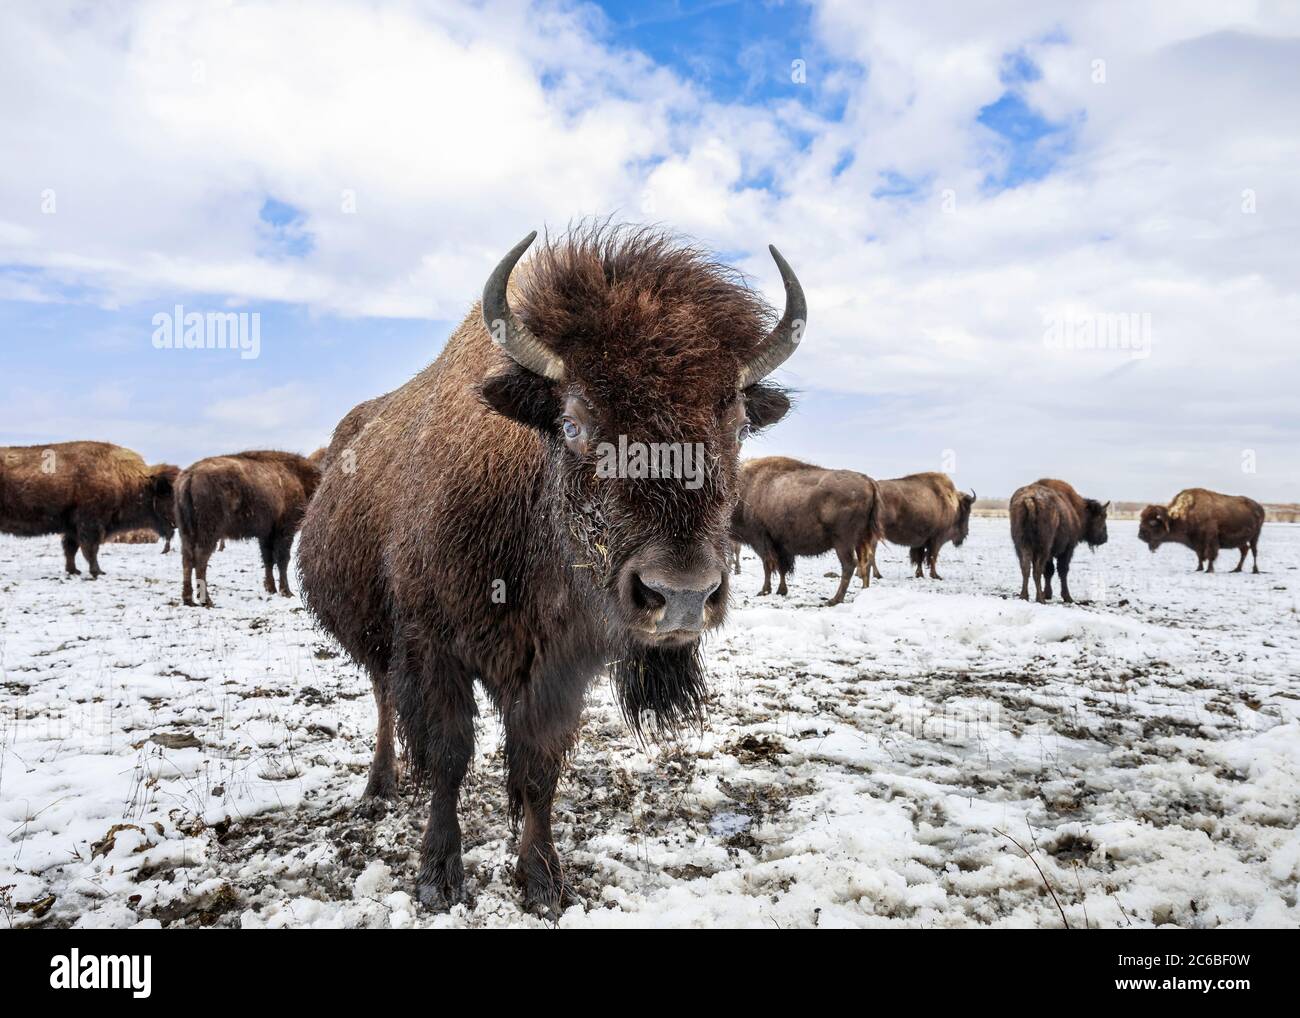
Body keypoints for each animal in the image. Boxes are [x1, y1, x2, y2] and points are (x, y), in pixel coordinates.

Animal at [0, 442, 179, 577]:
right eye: (169, 494)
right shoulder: (91, 524)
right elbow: (90, 549)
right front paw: (97, 572)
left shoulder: (73, 528)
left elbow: (71, 549)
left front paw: (74, 571)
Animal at [174, 452, 321, 608]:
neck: (298, 477)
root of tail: (191, 474)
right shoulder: (284, 531)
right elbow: (282, 560)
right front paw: (286, 591)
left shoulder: (266, 535)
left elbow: (268, 559)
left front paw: (271, 588)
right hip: (209, 533)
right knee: (200, 560)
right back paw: (206, 600)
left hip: (186, 532)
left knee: (187, 559)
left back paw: (188, 600)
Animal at [297, 224, 800, 915]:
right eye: (573, 421)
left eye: (739, 425)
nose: (681, 596)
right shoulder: (431, 648)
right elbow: (449, 756)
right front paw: (438, 877)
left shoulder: (561, 669)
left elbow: (538, 767)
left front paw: (542, 880)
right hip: (373, 636)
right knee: (383, 700)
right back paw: (380, 787)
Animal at [733, 455, 883, 605]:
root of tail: (868, 482)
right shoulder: (780, 546)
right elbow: (782, 568)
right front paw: (781, 591)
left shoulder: (761, 540)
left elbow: (768, 566)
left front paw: (764, 591)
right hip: (862, 540)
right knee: (865, 562)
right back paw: (863, 592)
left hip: (843, 542)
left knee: (849, 565)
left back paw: (834, 600)